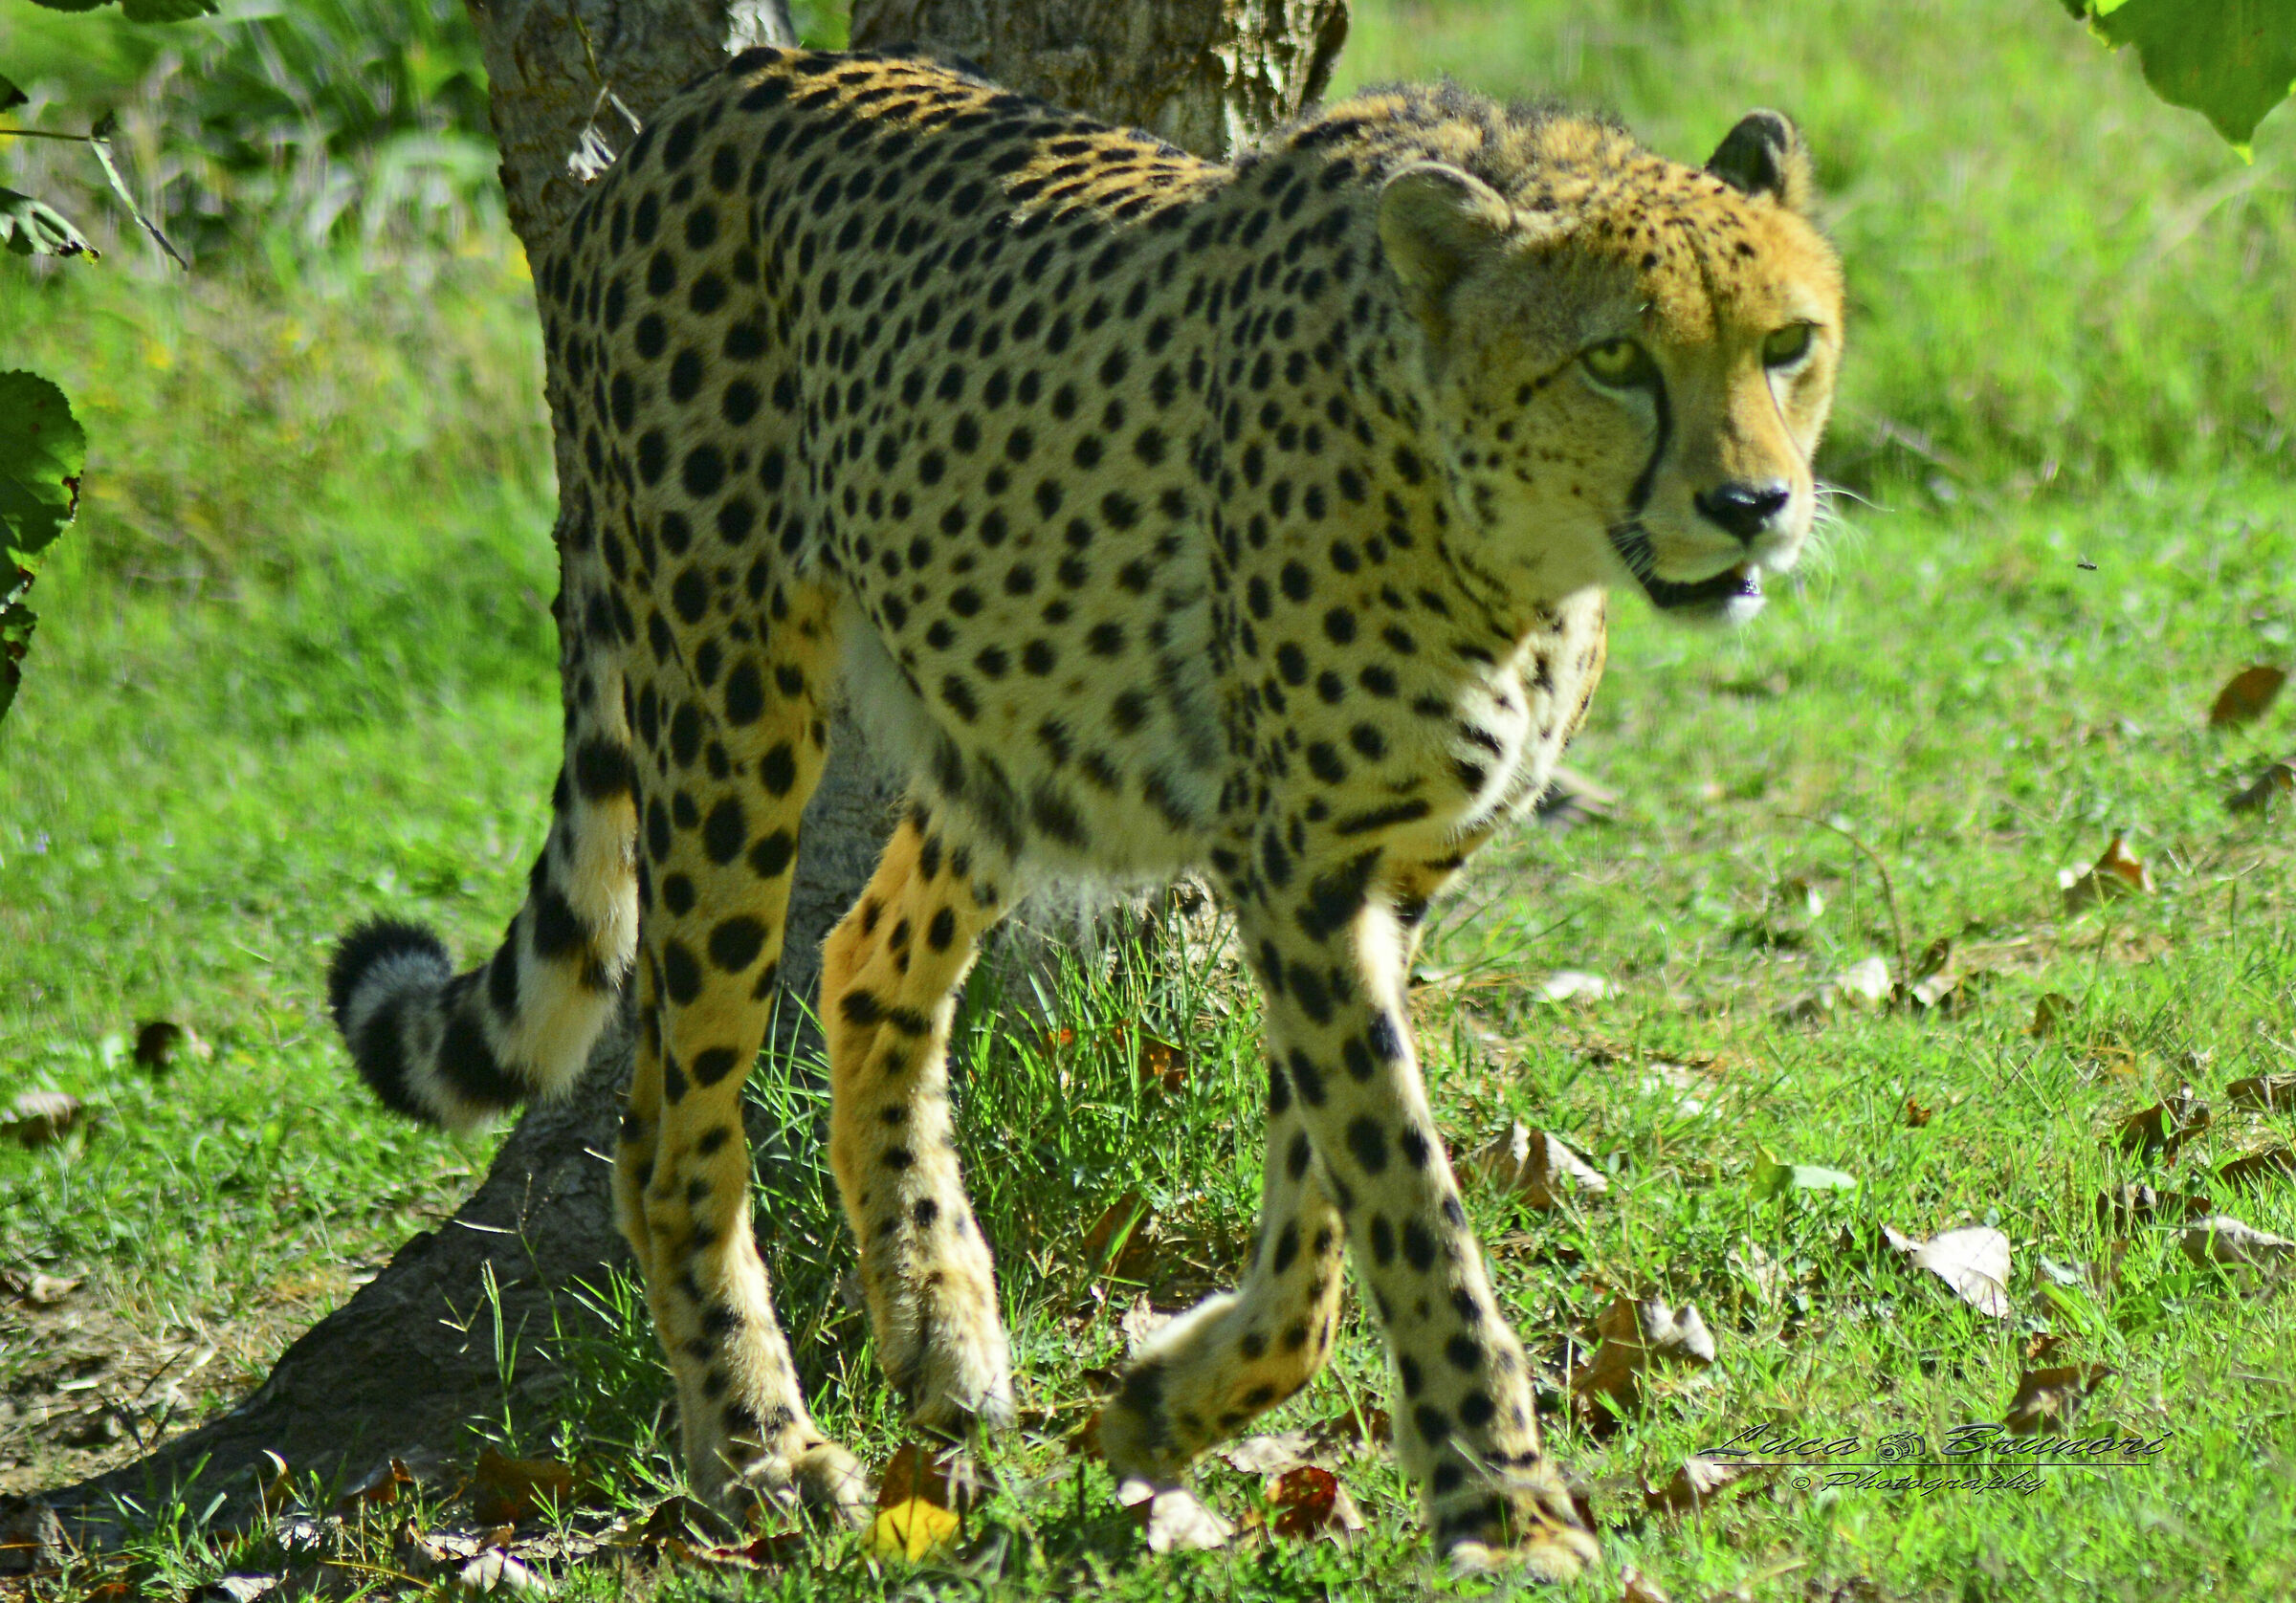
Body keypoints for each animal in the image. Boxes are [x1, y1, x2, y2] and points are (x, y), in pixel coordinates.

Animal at [326, 45, 1842, 1578]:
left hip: (1003, 716)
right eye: (1615, 360)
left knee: (867, 959)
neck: (1504, 535)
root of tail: (723, 87)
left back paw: (940, 1321)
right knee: (669, 1122)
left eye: (1788, 344)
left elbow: (1323, 1210)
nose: (1755, 502)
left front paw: (1174, 1400)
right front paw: (1503, 1497)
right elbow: (1406, 1196)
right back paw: (761, 1447)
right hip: (727, 699)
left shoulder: (1382, 872)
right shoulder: (1298, 864)